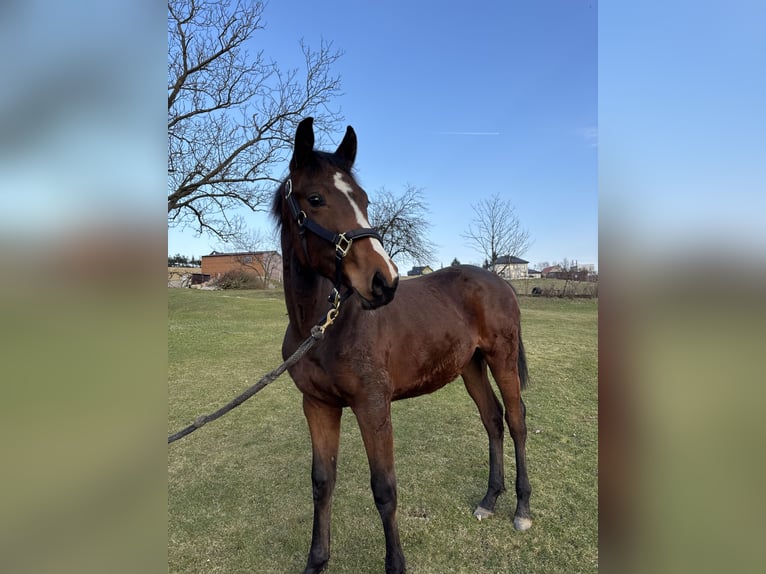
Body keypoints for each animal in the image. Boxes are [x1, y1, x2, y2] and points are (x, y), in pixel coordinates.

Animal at [272, 117, 531, 573]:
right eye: (315, 199)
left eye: (364, 200)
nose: (384, 280)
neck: (322, 325)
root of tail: (499, 281)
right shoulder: (318, 405)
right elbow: (322, 482)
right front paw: (316, 561)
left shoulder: (373, 406)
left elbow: (384, 488)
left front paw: (395, 564)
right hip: (471, 366)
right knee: (493, 420)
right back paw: (488, 500)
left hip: (501, 358)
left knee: (517, 421)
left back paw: (521, 509)